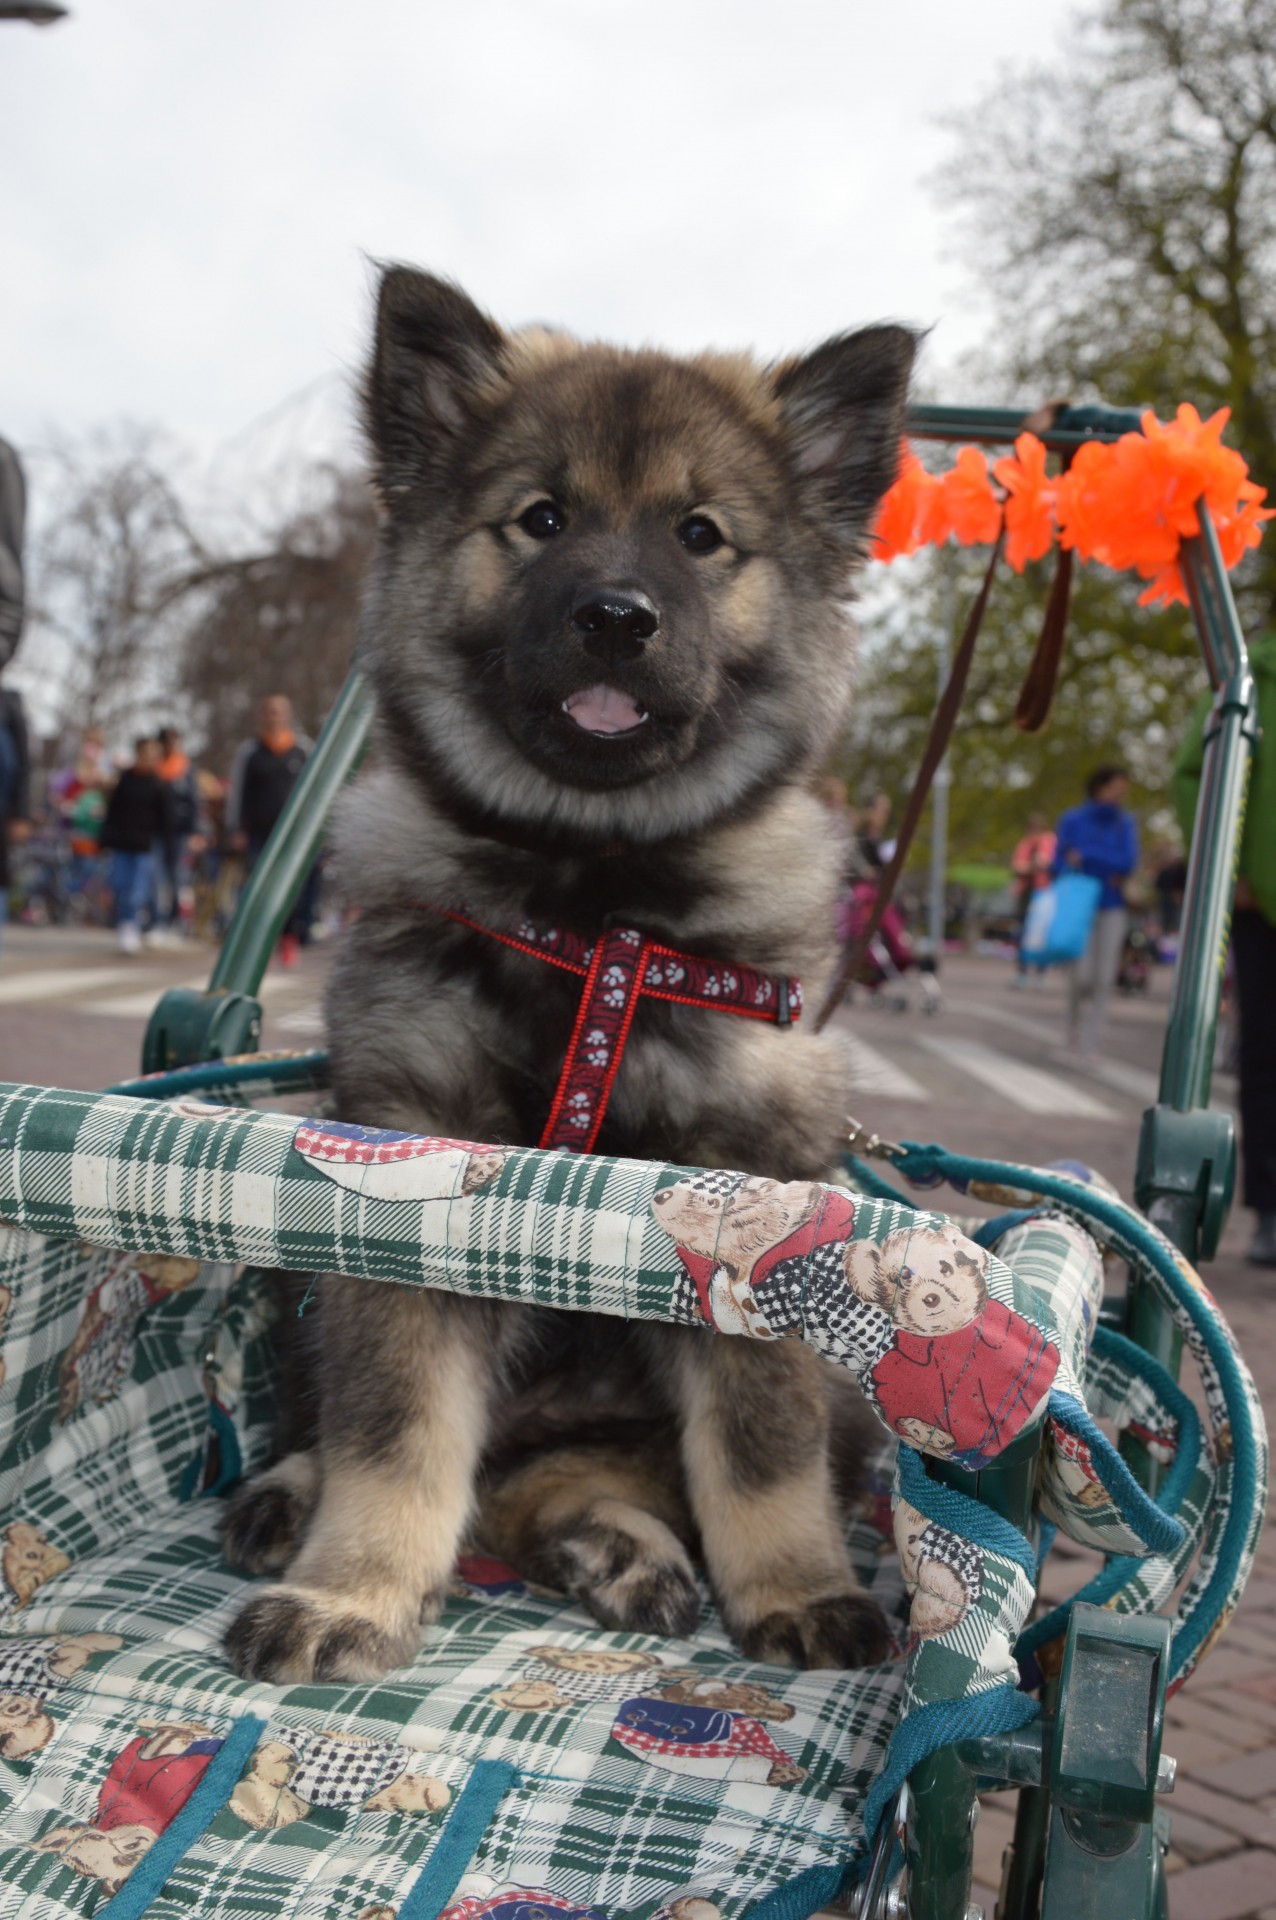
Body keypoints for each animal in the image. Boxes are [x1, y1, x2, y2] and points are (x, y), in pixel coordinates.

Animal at [221, 266, 917, 1681]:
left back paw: (623, 1551)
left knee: (587, 1484)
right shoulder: (406, 1181)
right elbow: (395, 1430)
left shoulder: (751, 1204)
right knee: (422, 1456)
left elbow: (759, 1445)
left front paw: (795, 1588)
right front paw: (351, 1592)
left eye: (700, 536)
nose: (615, 618)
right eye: (540, 519)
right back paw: (290, 1496)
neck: (592, 908)